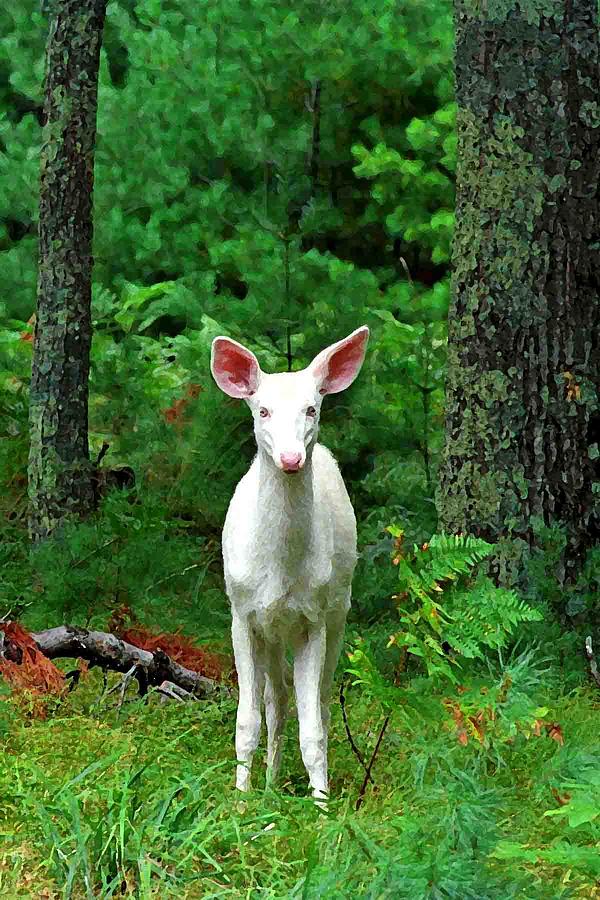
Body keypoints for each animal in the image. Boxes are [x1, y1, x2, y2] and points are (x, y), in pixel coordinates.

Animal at [211, 326, 370, 800]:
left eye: (311, 408)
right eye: (262, 410)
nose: (290, 459)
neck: (278, 572)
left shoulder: (313, 617)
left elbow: (313, 727)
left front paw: (322, 804)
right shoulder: (242, 613)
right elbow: (247, 719)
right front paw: (241, 799)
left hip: (339, 608)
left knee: (319, 702)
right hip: (269, 629)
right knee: (276, 699)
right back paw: (268, 782)